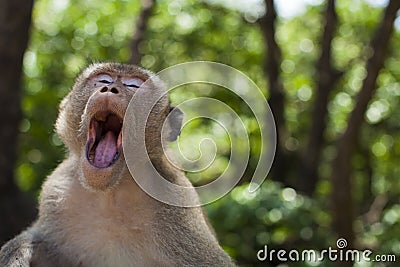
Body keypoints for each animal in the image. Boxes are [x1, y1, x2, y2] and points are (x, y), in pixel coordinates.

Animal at [0, 63, 234, 267]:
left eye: (133, 86)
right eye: (103, 80)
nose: (110, 88)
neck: (111, 193)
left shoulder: (177, 201)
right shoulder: (56, 191)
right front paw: (17, 253)